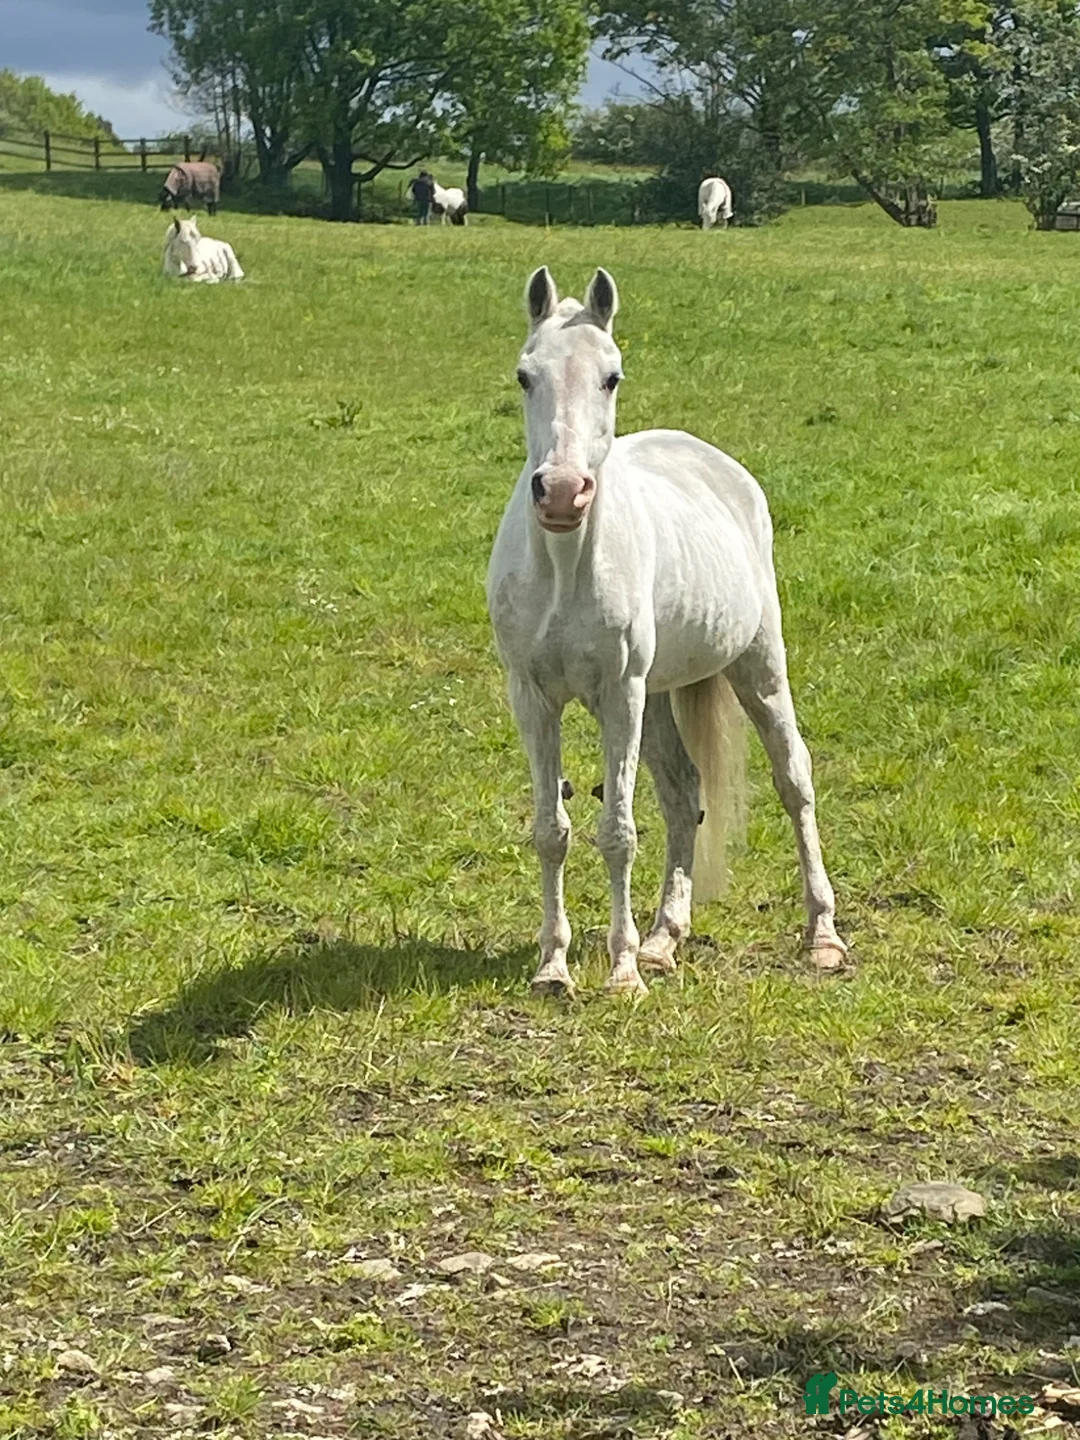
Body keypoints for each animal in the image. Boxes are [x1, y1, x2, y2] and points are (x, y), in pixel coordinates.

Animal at [486, 267, 845, 998]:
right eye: (524, 376)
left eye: (611, 376)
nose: (562, 493)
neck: (564, 567)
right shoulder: (533, 697)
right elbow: (551, 830)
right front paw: (554, 968)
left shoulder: (618, 695)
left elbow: (617, 832)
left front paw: (621, 974)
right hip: (653, 698)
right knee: (684, 794)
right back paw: (663, 938)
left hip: (756, 666)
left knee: (793, 779)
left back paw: (822, 936)